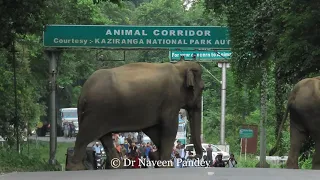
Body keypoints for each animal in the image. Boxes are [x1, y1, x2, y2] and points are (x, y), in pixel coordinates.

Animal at [66, 58, 204, 171]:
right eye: (202, 88)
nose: (193, 155)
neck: (179, 67)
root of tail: (83, 92)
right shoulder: (171, 100)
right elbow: (170, 127)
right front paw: (165, 165)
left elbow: (152, 130)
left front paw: (156, 158)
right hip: (96, 111)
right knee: (85, 135)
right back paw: (76, 168)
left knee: (105, 138)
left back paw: (117, 167)